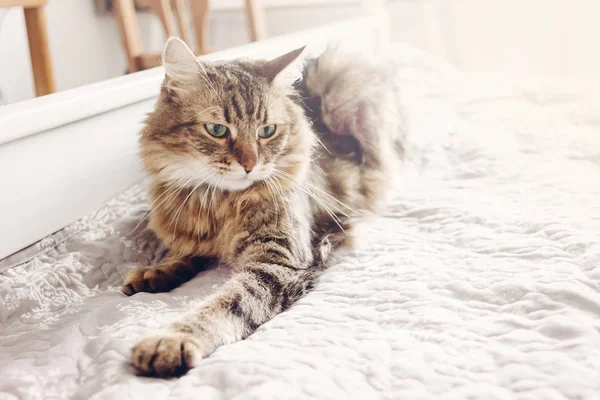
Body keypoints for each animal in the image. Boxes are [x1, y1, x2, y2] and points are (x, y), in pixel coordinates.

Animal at [124, 36, 406, 376]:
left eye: (266, 131)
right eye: (217, 130)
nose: (250, 164)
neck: (221, 203)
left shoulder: (277, 262)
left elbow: (224, 304)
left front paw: (172, 340)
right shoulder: (195, 238)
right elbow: (182, 255)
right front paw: (155, 272)